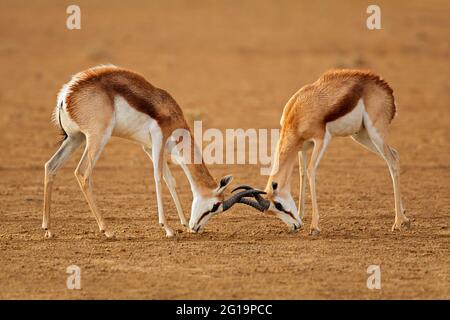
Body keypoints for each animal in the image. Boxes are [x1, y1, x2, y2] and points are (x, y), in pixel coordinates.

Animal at [43, 65, 260, 239]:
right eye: (215, 206)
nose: (196, 228)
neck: (170, 113)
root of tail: (66, 96)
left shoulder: (148, 146)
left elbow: (170, 180)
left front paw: (182, 223)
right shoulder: (158, 140)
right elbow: (157, 177)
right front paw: (168, 229)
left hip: (75, 138)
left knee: (51, 166)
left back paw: (48, 229)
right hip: (97, 138)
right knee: (82, 173)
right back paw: (107, 230)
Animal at [239, 69, 412, 235]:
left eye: (278, 204)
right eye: (272, 211)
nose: (295, 226)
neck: (298, 111)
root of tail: (385, 88)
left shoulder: (321, 139)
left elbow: (311, 171)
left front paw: (314, 227)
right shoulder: (302, 147)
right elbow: (302, 173)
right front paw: (301, 216)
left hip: (375, 132)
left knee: (392, 161)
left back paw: (397, 223)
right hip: (361, 136)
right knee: (395, 154)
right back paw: (405, 218)